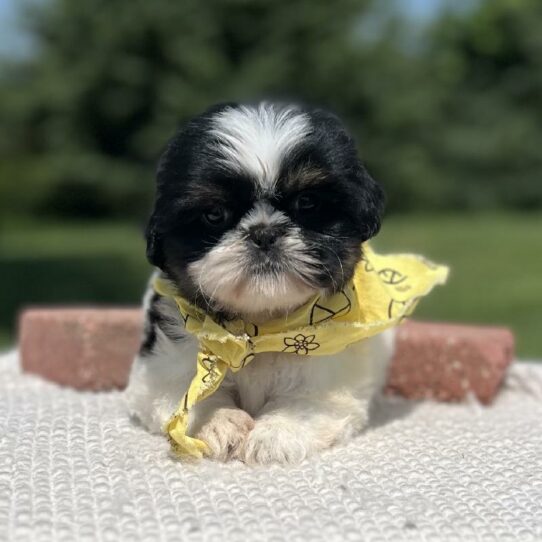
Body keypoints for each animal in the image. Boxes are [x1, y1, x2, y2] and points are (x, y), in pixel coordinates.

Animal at [126, 103, 398, 468]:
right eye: (214, 214)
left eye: (308, 203)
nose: (264, 233)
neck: (260, 327)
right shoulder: (160, 365)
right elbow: (185, 392)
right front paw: (216, 422)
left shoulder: (330, 369)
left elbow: (307, 402)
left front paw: (275, 435)